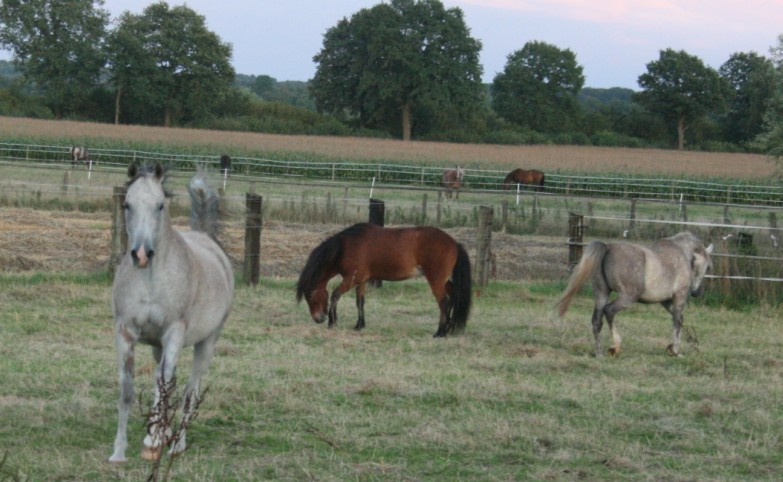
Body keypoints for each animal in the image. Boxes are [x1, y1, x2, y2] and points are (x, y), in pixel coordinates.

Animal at [108, 165, 234, 464]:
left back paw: (176, 443)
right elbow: (129, 390)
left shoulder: (174, 333)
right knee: (168, 381)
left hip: (206, 342)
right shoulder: (126, 331)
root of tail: (207, 240)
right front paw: (119, 451)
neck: (151, 280)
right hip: (157, 347)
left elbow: (166, 384)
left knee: (190, 390)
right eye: (127, 204)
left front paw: (152, 442)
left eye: (160, 205)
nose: (142, 255)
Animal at [298, 224, 474, 338]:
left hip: (436, 279)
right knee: (453, 297)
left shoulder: (351, 279)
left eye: (310, 296)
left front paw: (333, 322)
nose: (318, 319)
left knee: (444, 302)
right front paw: (359, 325)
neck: (345, 247)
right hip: (444, 281)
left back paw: (440, 332)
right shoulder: (361, 281)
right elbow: (360, 302)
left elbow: (335, 295)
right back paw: (449, 328)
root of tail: (454, 243)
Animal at [556, 230, 712, 358]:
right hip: (628, 297)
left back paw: (599, 353)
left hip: (602, 293)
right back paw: (615, 347)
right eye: (707, 266)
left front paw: (672, 347)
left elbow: (679, 319)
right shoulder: (679, 296)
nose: (696, 292)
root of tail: (608, 247)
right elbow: (677, 320)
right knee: (609, 311)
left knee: (597, 320)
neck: (682, 253)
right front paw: (675, 351)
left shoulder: (666, 301)